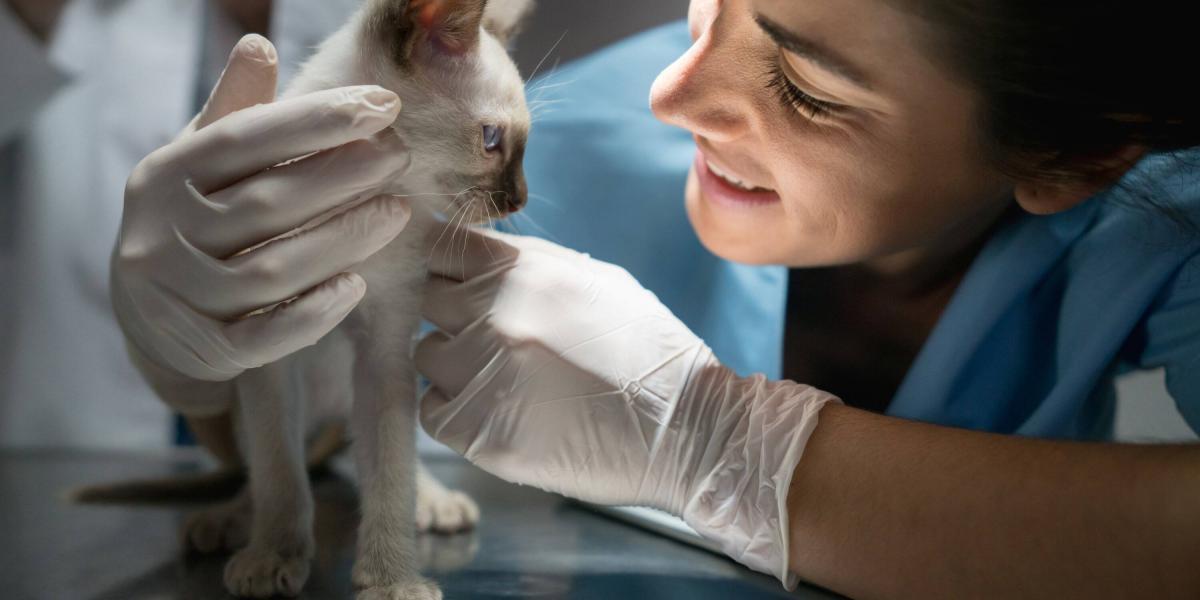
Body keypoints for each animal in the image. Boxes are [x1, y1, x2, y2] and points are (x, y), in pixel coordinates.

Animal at [206, 2, 530, 597]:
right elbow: (278, 471)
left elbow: (390, 473)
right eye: (492, 138)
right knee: (273, 465)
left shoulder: (384, 352)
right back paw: (231, 521)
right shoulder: (268, 355)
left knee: (378, 455)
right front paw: (273, 555)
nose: (519, 198)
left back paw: (435, 503)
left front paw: (391, 581)